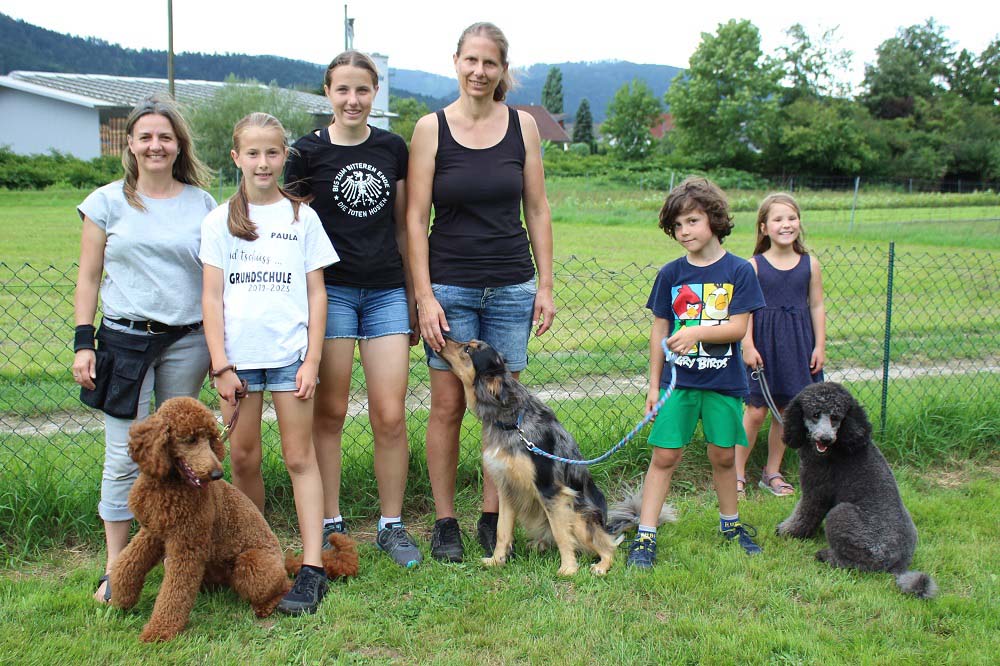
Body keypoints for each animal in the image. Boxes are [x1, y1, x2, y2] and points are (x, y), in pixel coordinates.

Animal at [109, 397, 358, 642]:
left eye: (210, 439)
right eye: (190, 440)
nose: (216, 474)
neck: (170, 485)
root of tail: (282, 561)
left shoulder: (187, 545)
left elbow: (174, 591)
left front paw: (159, 630)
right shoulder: (153, 531)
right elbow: (128, 562)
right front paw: (121, 596)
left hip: (250, 564)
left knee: (282, 585)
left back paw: (269, 605)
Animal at [438, 337, 674, 575]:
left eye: (468, 349)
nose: (443, 337)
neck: (512, 422)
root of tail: (606, 525)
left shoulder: (551, 491)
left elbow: (562, 535)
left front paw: (568, 569)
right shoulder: (507, 488)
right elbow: (502, 529)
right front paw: (497, 560)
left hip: (579, 515)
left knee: (607, 546)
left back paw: (600, 565)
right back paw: (538, 545)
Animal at [777, 382, 937, 598]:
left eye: (836, 417)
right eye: (816, 414)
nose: (826, 439)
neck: (840, 445)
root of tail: (900, 564)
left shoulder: (816, 491)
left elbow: (804, 515)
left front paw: (787, 531)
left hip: (842, 515)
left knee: (854, 565)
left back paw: (826, 556)